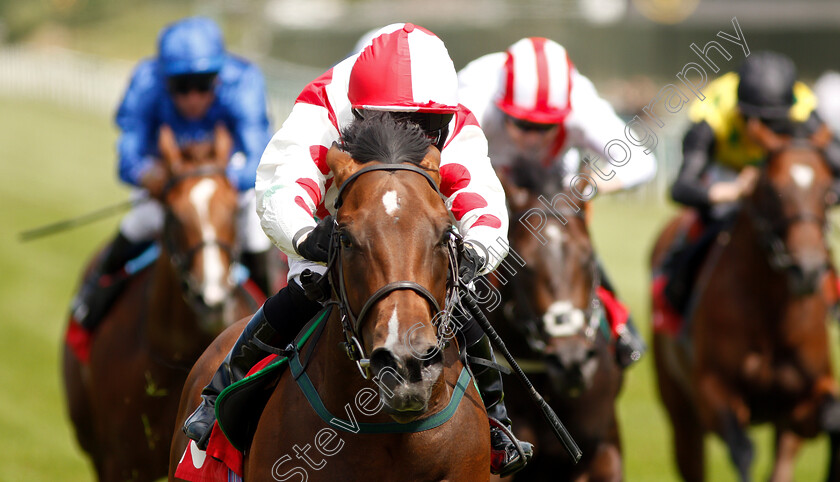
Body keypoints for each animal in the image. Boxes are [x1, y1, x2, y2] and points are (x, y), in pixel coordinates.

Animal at [652, 120, 840, 482]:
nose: (808, 269)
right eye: (770, 189)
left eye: (827, 190)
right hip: (680, 413)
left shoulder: (805, 397)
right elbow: (742, 450)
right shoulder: (713, 392)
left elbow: (832, 418)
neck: (772, 315)